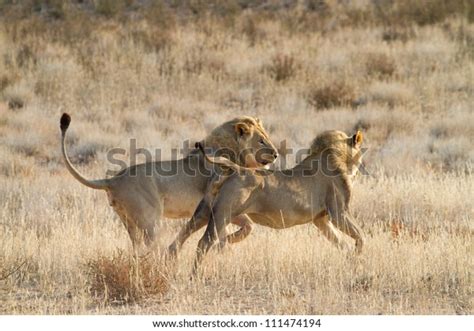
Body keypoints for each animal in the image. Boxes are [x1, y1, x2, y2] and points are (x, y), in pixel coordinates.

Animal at [61, 113, 280, 253]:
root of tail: (113, 179)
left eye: (267, 137)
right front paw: (222, 246)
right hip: (149, 218)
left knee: (137, 246)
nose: (276, 154)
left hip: (128, 220)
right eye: (261, 140)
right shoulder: (216, 200)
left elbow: (248, 226)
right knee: (152, 244)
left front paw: (227, 243)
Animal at [187, 130, 364, 274]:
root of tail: (237, 168)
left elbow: (340, 242)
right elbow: (361, 236)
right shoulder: (338, 212)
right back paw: (194, 276)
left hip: (205, 212)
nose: (360, 170)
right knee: (203, 242)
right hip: (222, 214)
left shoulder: (321, 219)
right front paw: (358, 258)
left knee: (187, 233)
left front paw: (352, 259)